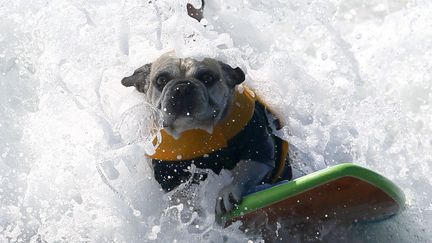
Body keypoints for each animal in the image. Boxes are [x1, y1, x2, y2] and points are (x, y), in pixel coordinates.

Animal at [120, 52, 292, 215]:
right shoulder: (168, 174)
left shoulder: (258, 147)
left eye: (208, 78)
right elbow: (180, 193)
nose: (183, 87)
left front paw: (227, 192)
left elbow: (246, 168)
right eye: (161, 80)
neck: (195, 131)